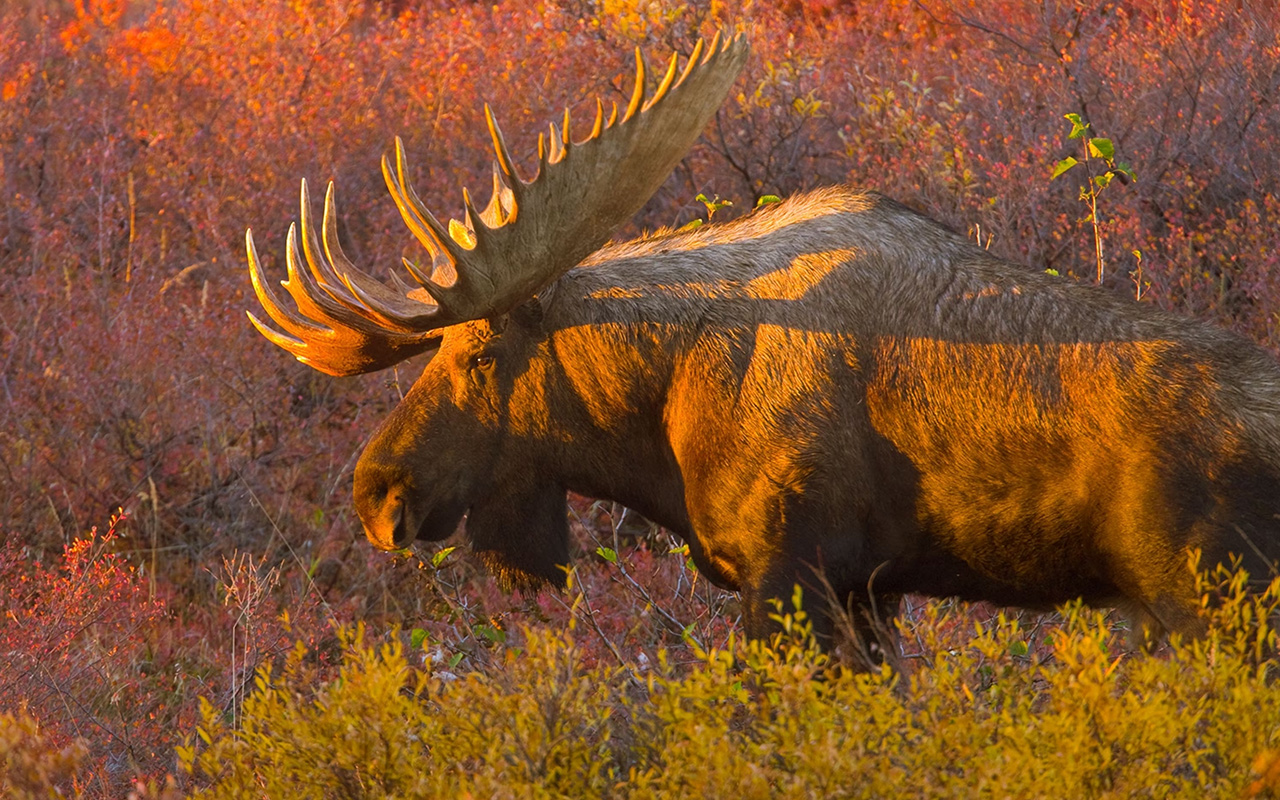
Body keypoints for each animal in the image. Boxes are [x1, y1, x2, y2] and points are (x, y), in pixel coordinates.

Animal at [247, 29, 1280, 650]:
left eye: (474, 353)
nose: (377, 494)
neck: (660, 421)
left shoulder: (790, 573)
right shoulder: (871, 586)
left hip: (1210, 599)